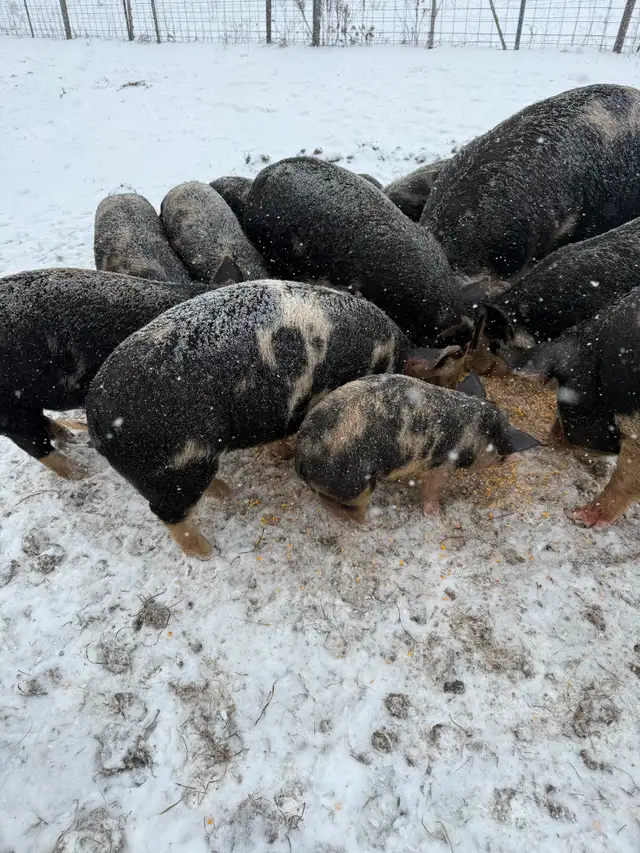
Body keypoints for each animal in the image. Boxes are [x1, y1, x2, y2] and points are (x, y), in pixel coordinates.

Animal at [85, 280, 466, 559]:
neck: (389, 358)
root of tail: (97, 421)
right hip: (175, 468)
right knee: (171, 516)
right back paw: (209, 552)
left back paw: (228, 493)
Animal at [294, 371, 538, 521]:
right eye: (502, 452)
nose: (507, 460)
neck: (474, 431)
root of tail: (303, 454)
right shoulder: (441, 465)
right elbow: (432, 490)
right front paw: (436, 516)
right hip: (353, 486)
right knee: (339, 506)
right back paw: (368, 522)